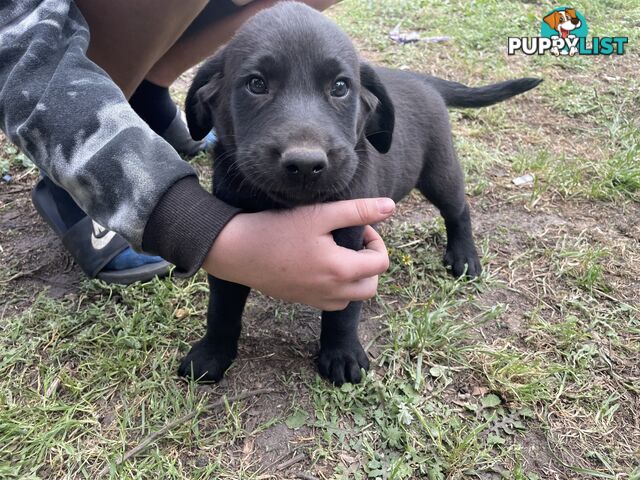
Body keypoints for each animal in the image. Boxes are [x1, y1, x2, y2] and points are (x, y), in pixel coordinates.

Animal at [178, 1, 544, 386]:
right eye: (256, 84)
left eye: (340, 87)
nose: (305, 164)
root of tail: (420, 79)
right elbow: (222, 306)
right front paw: (212, 352)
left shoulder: (350, 247)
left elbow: (343, 311)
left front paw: (341, 354)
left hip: (439, 170)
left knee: (458, 210)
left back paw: (464, 255)